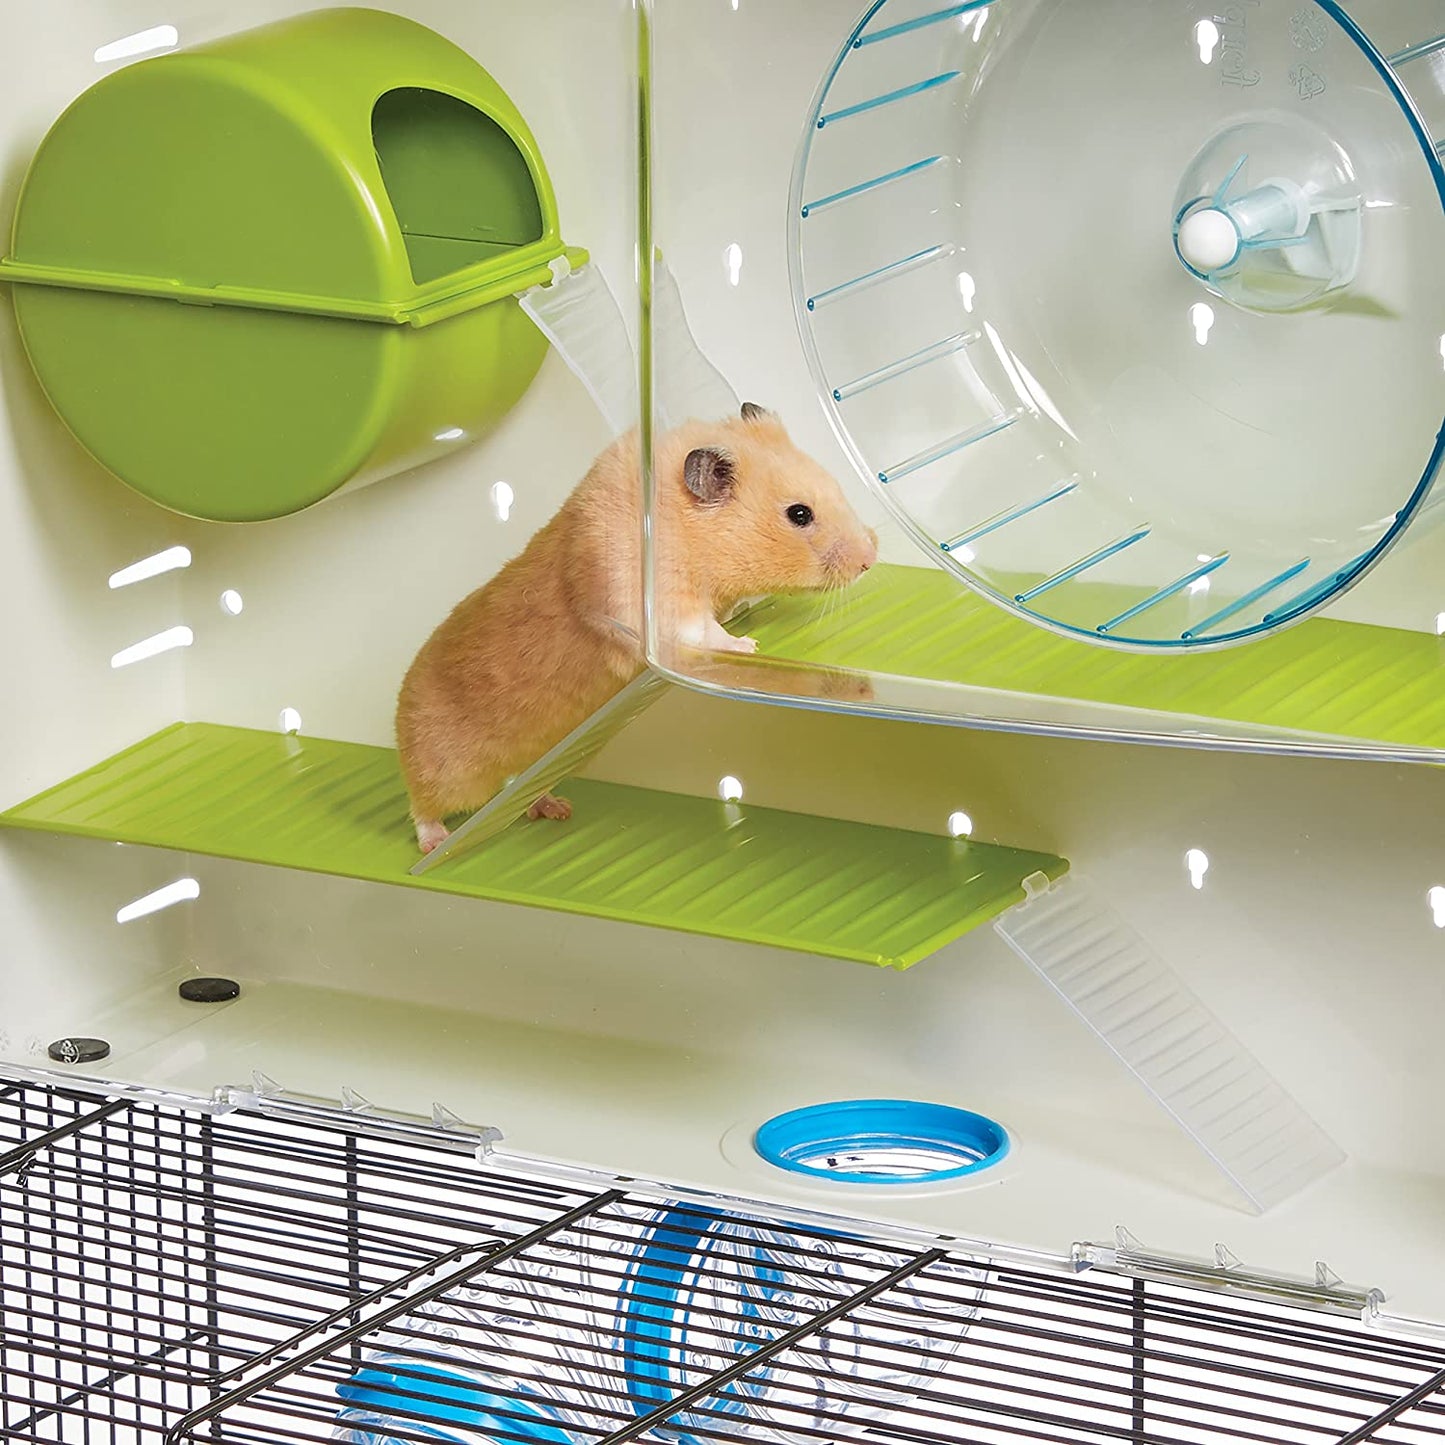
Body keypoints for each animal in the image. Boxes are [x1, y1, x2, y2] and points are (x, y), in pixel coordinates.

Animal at [395, 403, 878, 853]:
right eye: (799, 514)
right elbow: (701, 630)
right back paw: (435, 841)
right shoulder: (660, 601)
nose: (871, 558)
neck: (687, 530)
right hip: (448, 770)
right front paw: (747, 644)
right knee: (421, 804)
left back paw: (556, 809)